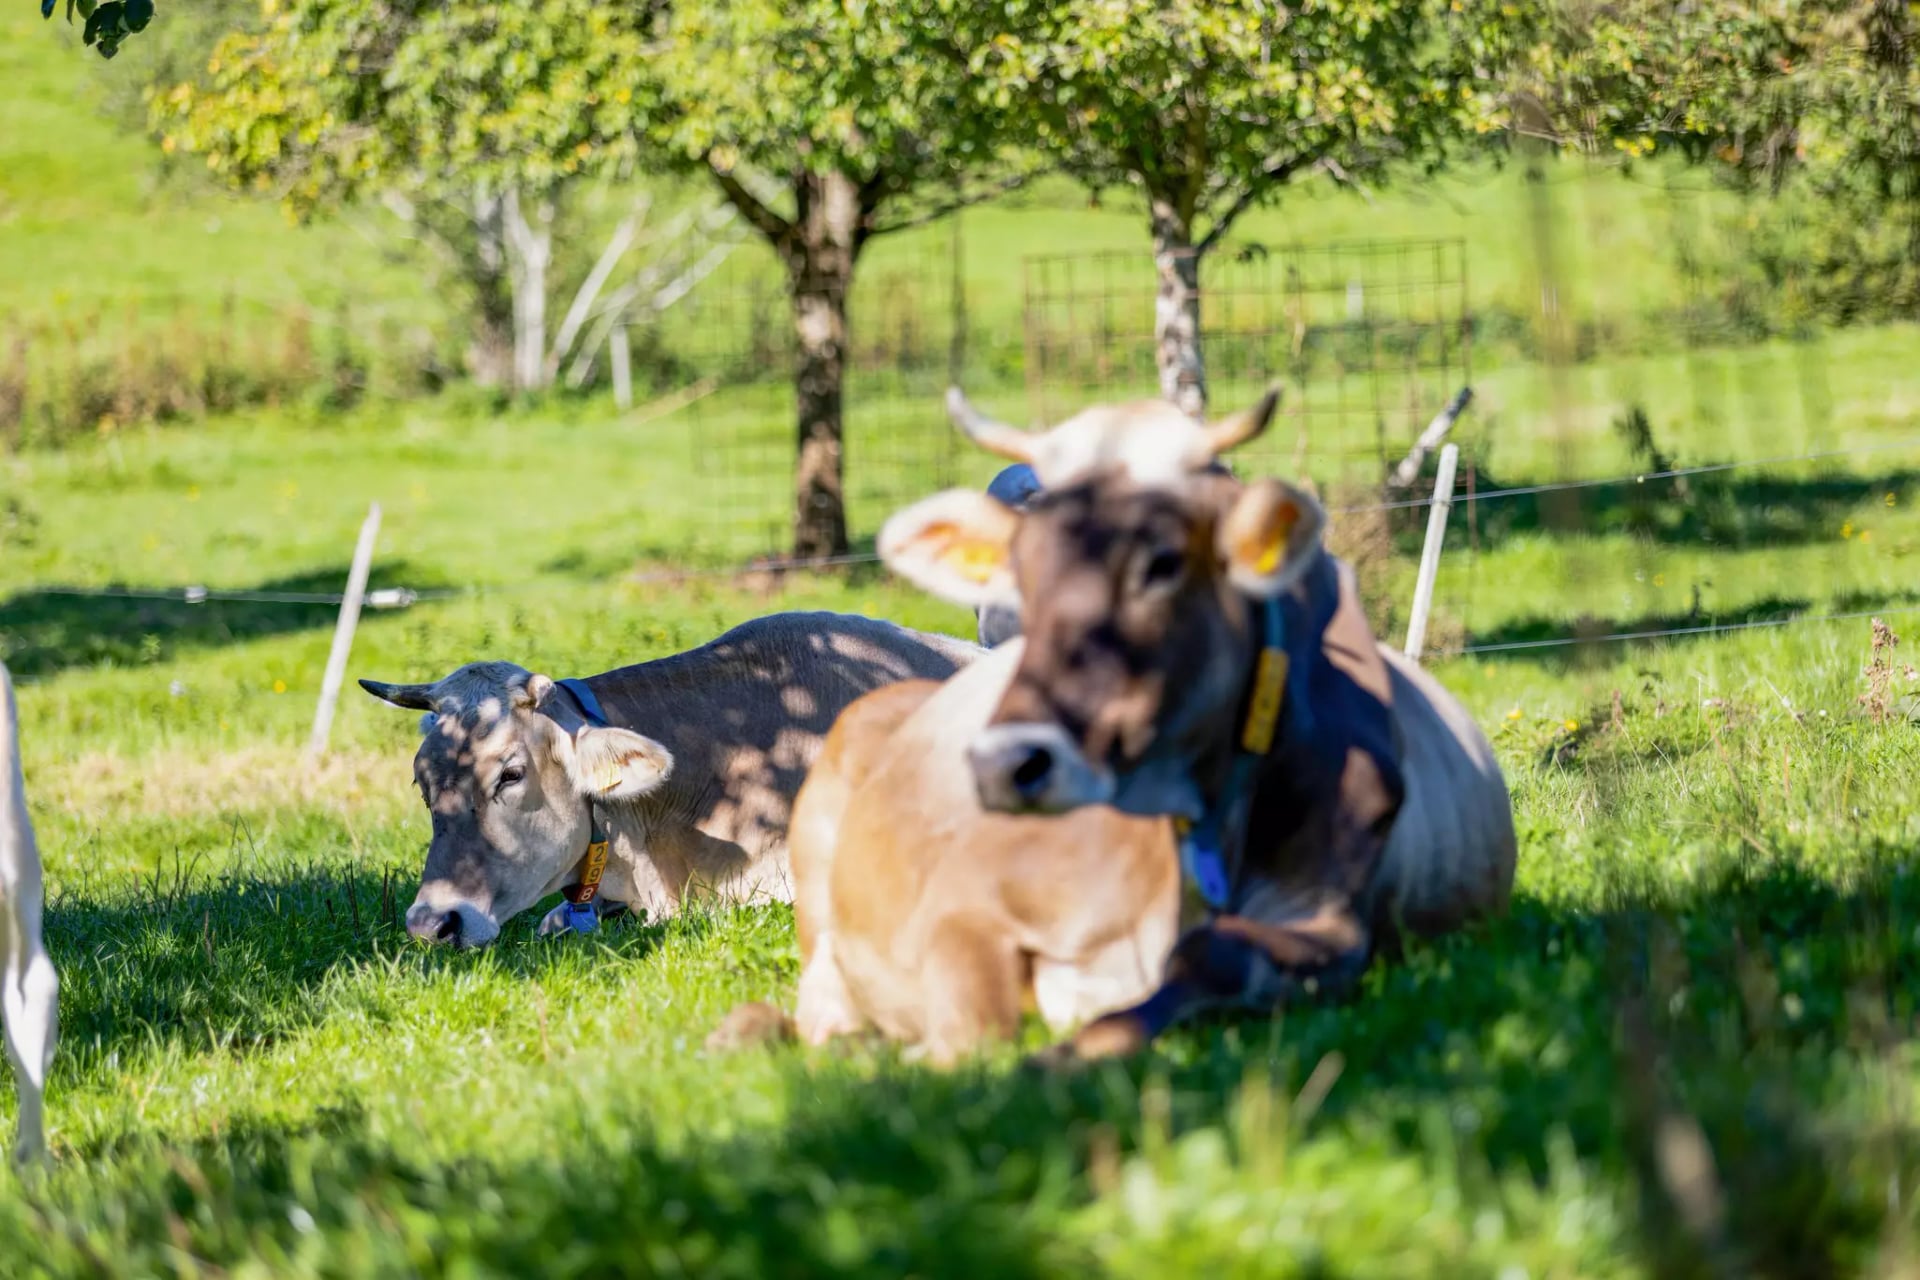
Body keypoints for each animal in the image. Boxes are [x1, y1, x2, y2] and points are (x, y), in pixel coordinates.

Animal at [770, 387, 1515, 1065]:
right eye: (1021, 568)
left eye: (1163, 563)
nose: (1004, 762)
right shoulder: (963, 905)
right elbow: (971, 1033)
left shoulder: (1330, 917)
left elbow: (1202, 965)